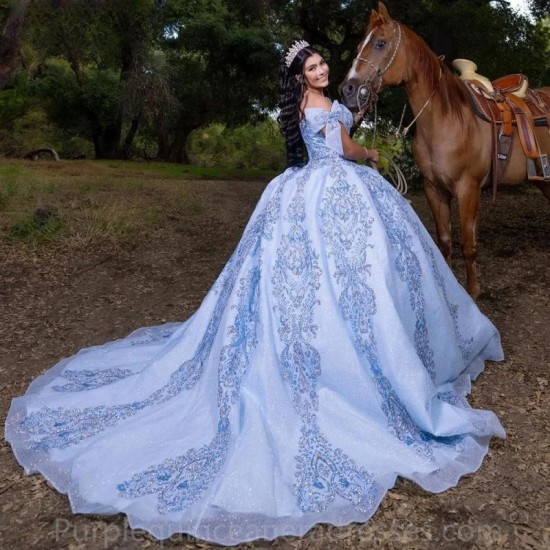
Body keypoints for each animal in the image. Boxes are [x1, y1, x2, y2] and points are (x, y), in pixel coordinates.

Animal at [340, 2, 550, 300]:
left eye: (380, 43)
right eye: (358, 46)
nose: (347, 89)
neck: (447, 119)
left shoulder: (468, 189)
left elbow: (469, 246)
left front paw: (473, 293)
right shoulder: (434, 189)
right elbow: (445, 242)